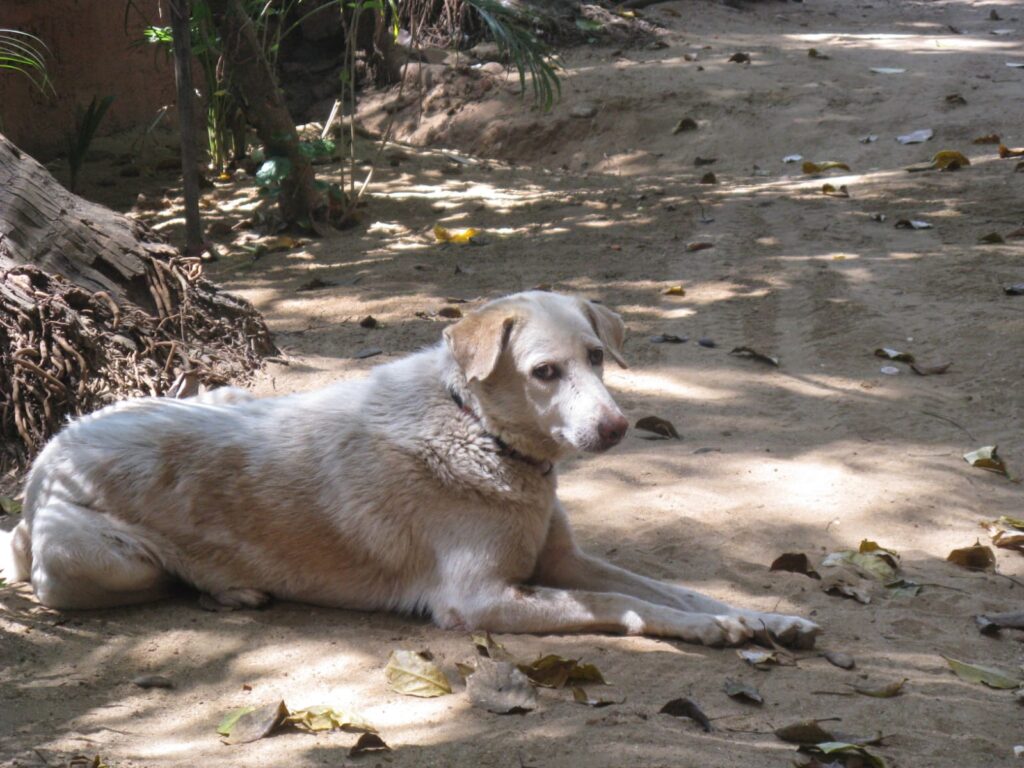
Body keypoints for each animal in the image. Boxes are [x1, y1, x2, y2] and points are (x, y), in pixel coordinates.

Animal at [4, 291, 819, 648]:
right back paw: (226, 585)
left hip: (226, 395)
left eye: (595, 357)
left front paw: (761, 616)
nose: (616, 428)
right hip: (93, 561)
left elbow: (670, 587)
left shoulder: (563, 559)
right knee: (135, 579)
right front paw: (714, 630)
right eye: (544, 372)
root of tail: (48, 452)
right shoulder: (479, 599)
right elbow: (623, 604)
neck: (480, 434)